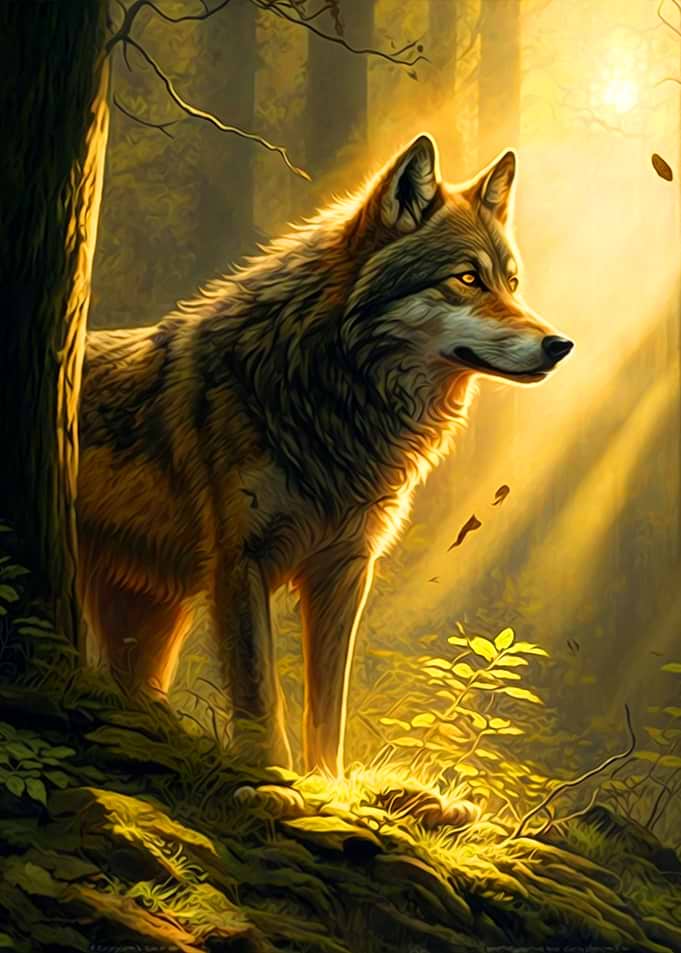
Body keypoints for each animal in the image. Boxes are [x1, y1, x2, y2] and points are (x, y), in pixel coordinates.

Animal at [78, 134, 573, 776]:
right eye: (467, 278)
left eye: (512, 283)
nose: (560, 345)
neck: (328, 397)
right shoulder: (241, 564)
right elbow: (262, 698)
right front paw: (270, 779)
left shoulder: (345, 569)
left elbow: (328, 708)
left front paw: (326, 783)